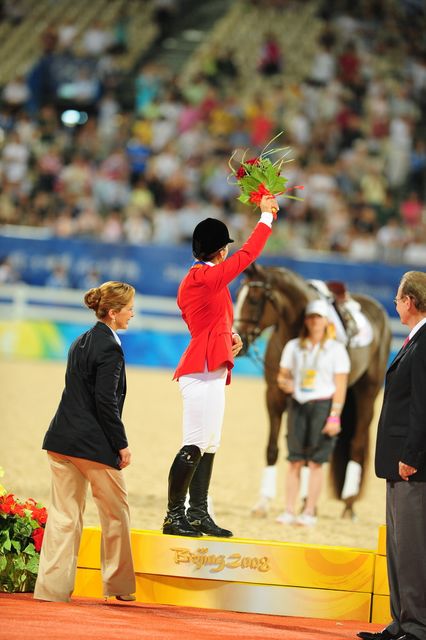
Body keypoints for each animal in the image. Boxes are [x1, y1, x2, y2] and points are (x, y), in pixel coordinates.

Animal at [233, 262, 392, 519]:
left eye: (255, 299)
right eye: (238, 295)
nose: (239, 340)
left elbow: (309, 452)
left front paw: (307, 504)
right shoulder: (274, 397)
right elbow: (273, 449)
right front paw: (263, 504)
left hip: (367, 393)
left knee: (357, 445)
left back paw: (348, 505)